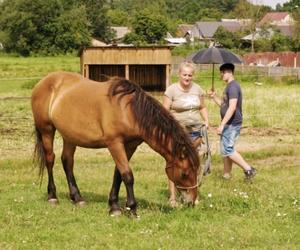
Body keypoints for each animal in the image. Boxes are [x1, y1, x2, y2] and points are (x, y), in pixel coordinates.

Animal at [31, 71, 199, 216]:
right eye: (184, 173)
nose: (191, 201)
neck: (129, 111)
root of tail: (43, 82)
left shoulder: (130, 146)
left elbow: (118, 174)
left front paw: (114, 205)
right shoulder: (115, 144)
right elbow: (127, 175)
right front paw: (131, 208)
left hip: (70, 136)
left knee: (67, 161)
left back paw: (77, 198)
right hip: (47, 130)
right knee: (50, 159)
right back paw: (52, 196)